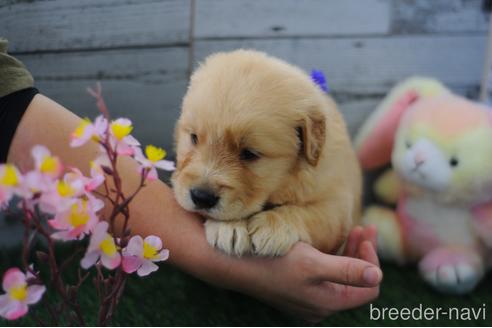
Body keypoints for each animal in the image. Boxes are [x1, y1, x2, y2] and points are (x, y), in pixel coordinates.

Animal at [172, 50, 362, 258]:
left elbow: (310, 214)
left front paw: (274, 227)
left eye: (249, 153)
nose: (201, 197)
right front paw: (229, 227)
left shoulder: (338, 206)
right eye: (194, 138)